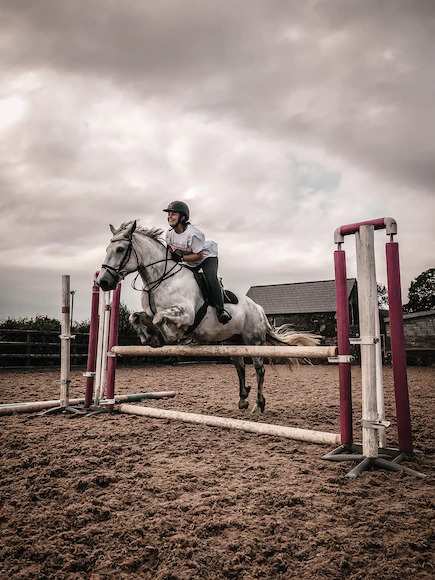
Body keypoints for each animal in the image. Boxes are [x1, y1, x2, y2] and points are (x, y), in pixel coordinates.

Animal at [96, 219, 320, 412]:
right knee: (240, 367)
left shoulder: (185, 314)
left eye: (120, 249)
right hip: (232, 342)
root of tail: (257, 307)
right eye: (107, 250)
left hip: (254, 341)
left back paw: (258, 404)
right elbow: (136, 317)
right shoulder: (149, 313)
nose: (103, 282)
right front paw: (150, 339)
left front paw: (171, 337)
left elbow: (161, 320)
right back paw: (242, 399)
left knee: (259, 369)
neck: (161, 279)